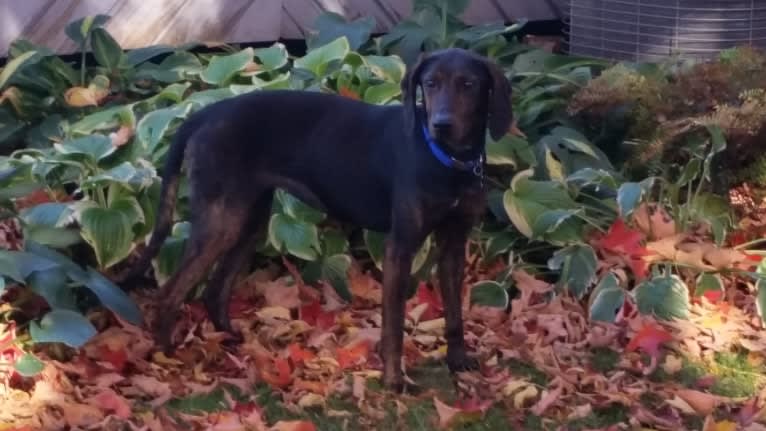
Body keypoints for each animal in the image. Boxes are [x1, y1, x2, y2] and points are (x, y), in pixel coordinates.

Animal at [126, 47, 512, 392]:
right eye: (430, 83)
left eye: (468, 84)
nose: (441, 124)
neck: (447, 160)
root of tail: (203, 114)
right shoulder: (400, 247)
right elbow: (394, 325)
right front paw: (393, 381)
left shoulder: (454, 245)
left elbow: (455, 314)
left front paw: (457, 361)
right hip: (222, 220)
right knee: (169, 293)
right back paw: (167, 356)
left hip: (250, 221)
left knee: (214, 289)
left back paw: (229, 338)